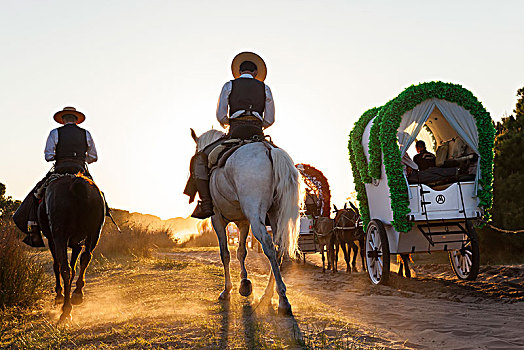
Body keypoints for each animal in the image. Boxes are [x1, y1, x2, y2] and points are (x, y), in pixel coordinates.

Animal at [38, 174, 104, 324]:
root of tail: (77, 182)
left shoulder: (53, 240)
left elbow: (57, 265)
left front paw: (59, 295)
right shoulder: (77, 243)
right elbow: (75, 267)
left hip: (60, 235)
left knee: (64, 268)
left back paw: (66, 309)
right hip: (94, 232)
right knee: (86, 257)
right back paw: (77, 294)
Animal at [191, 129, 298, 314]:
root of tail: (268, 149)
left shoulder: (217, 219)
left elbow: (225, 254)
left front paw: (227, 290)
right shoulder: (243, 222)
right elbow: (241, 252)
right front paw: (244, 285)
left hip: (255, 216)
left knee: (269, 246)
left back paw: (283, 299)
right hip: (275, 216)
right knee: (278, 249)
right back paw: (268, 295)